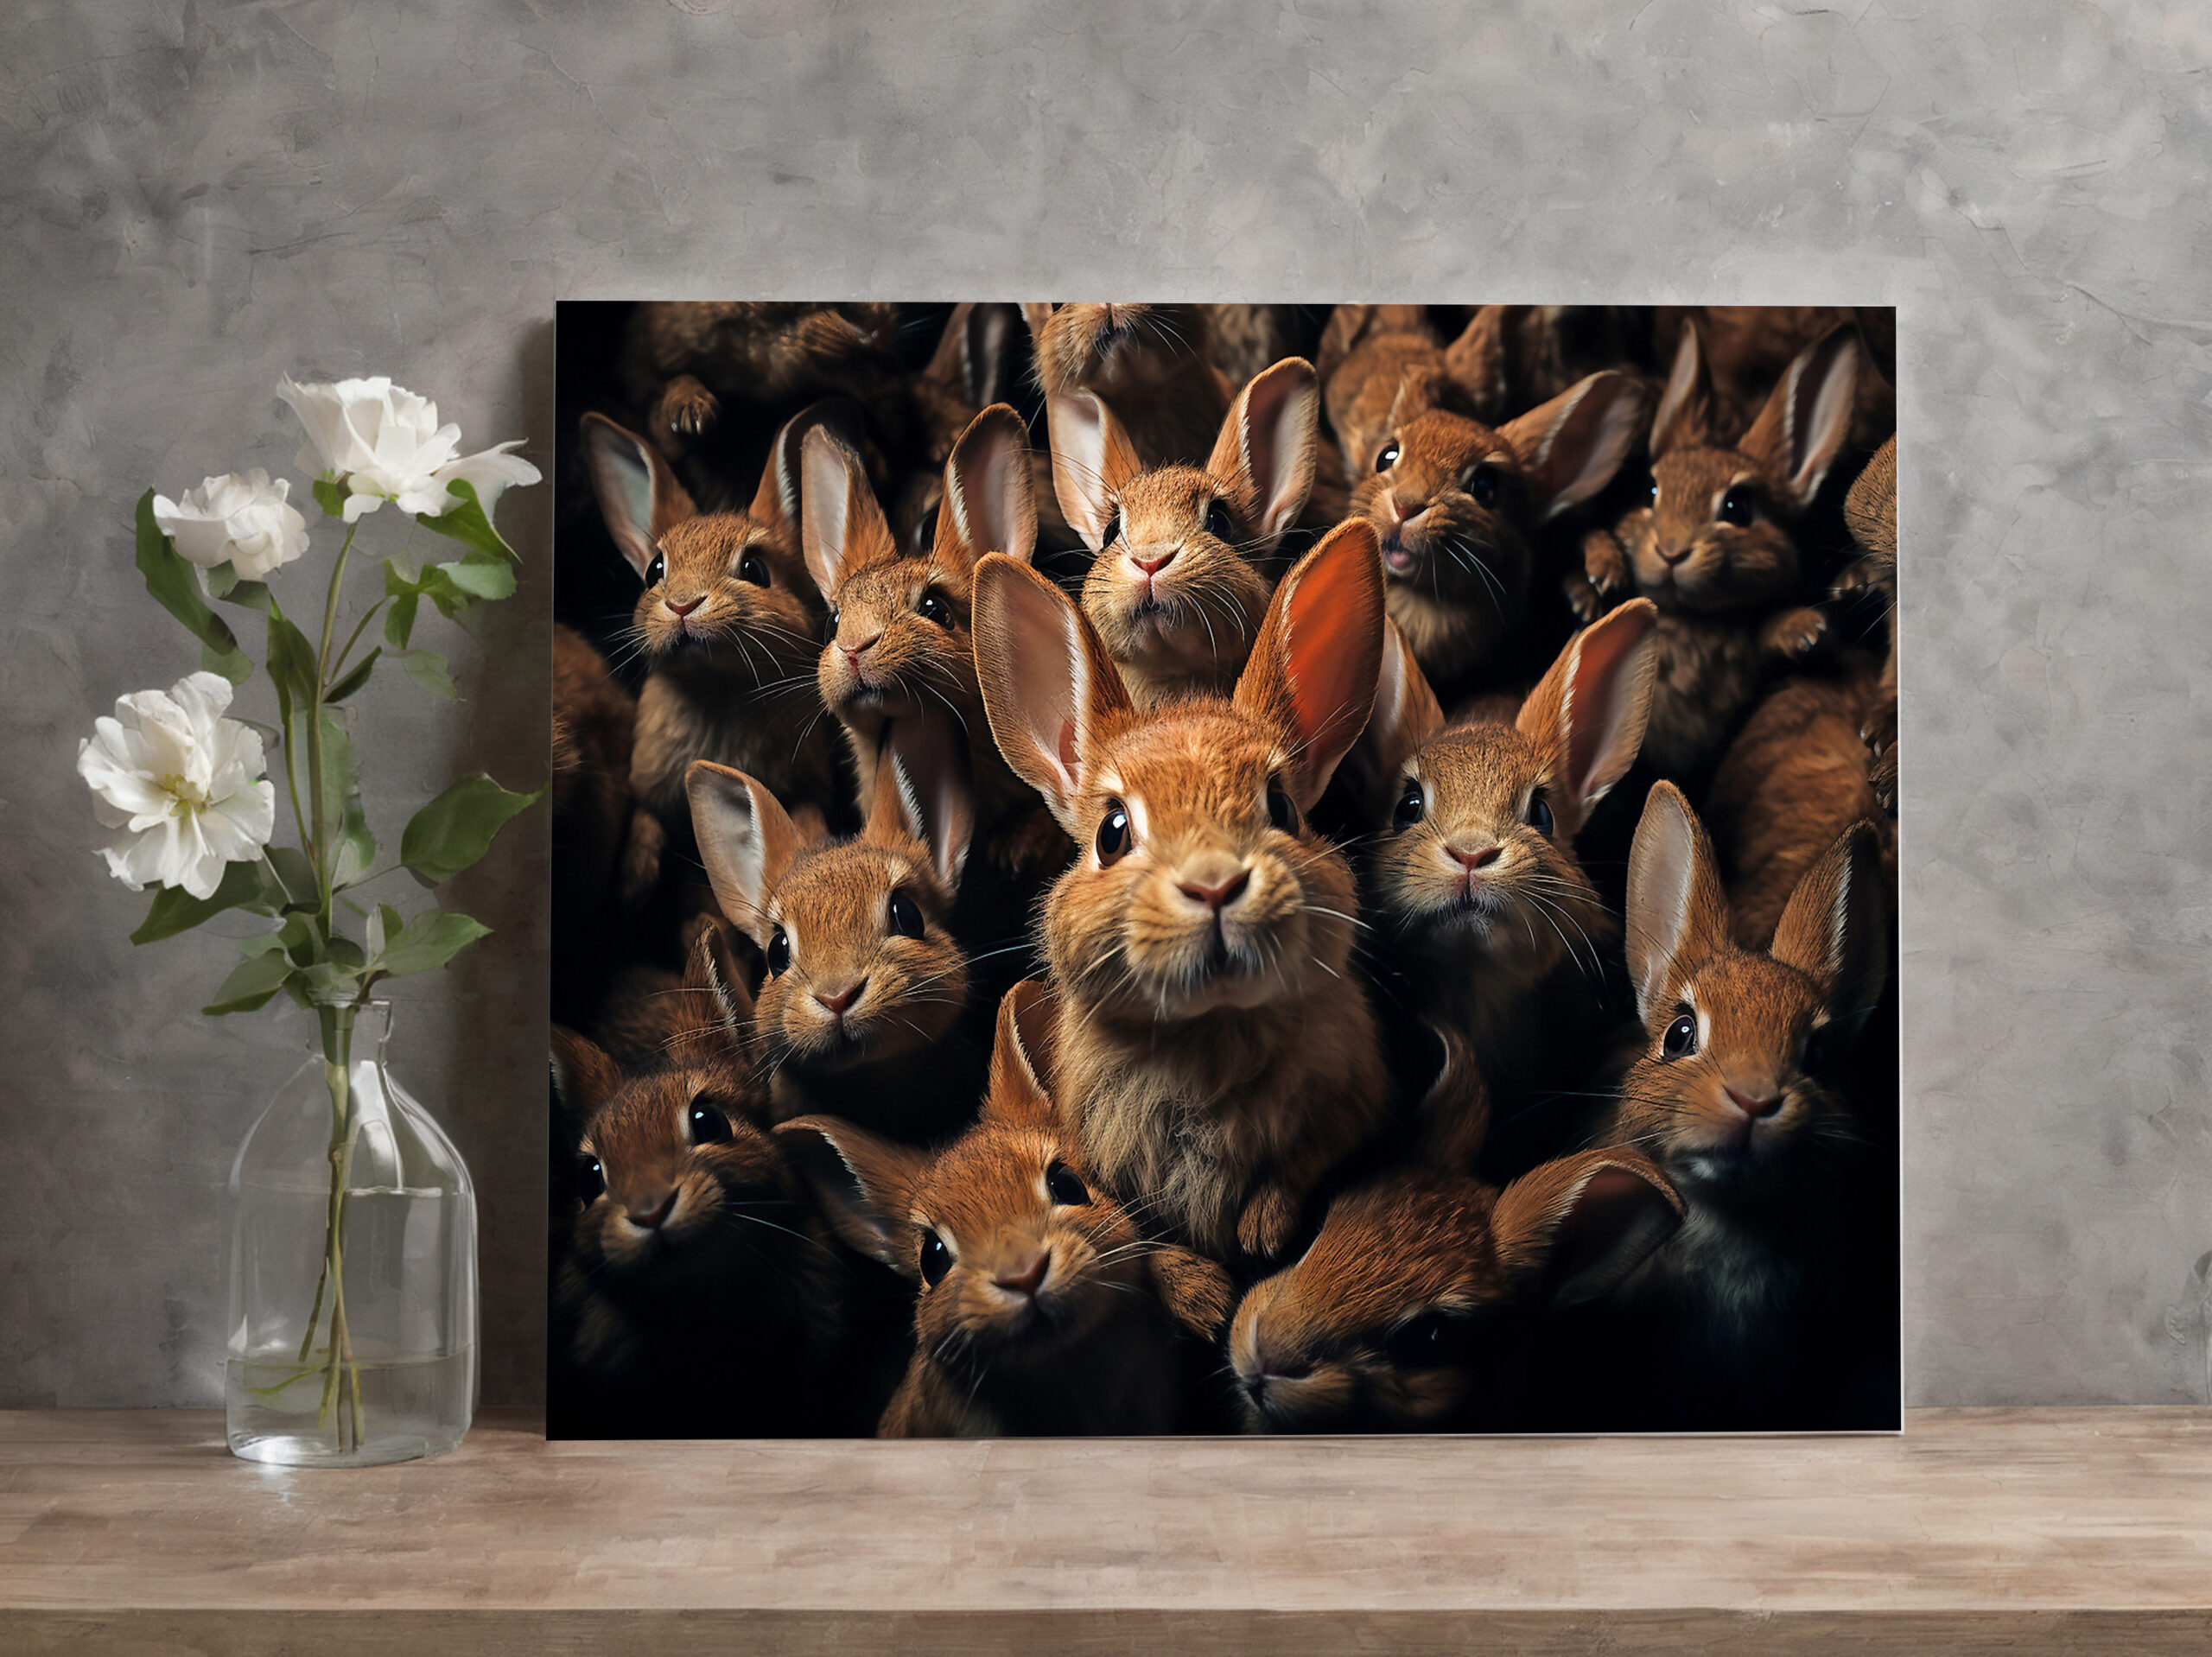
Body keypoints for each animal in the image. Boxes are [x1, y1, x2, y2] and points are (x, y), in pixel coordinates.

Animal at [579, 398, 853, 907]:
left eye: (755, 569)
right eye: (655, 570)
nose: (683, 604)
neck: (717, 683)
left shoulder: (805, 782)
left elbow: (806, 815)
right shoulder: (649, 784)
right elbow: (646, 818)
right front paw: (634, 886)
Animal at [1576, 319, 1864, 779]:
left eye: (1737, 509)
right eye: (1650, 490)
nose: (1671, 551)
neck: (1690, 618)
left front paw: (1804, 629)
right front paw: (1598, 578)